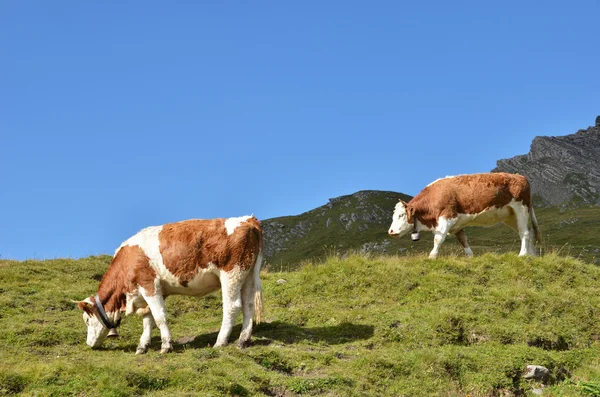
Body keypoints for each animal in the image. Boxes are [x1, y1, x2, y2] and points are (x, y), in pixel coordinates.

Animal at [75, 215, 262, 354]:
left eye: (87, 320)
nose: (89, 344)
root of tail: (248, 219)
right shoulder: (154, 291)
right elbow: (148, 319)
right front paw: (142, 346)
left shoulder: (148, 284)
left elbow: (159, 317)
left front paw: (166, 345)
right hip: (248, 275)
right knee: (248, 305)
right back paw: (243, 340)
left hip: (231, 274)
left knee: (232, 306)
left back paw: (220, 342)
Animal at [386, 172, 540, 258]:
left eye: (401, 215)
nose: (391, 231)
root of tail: (520, 176)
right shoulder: (457, 224)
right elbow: (463, 240)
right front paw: (470, 256)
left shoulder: (447, 216)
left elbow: (438, 239)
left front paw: (432, 256)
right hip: (511, 216)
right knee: (528, 232)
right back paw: (531, 255)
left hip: (521, 209)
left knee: (525, 232)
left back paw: (522, 255)